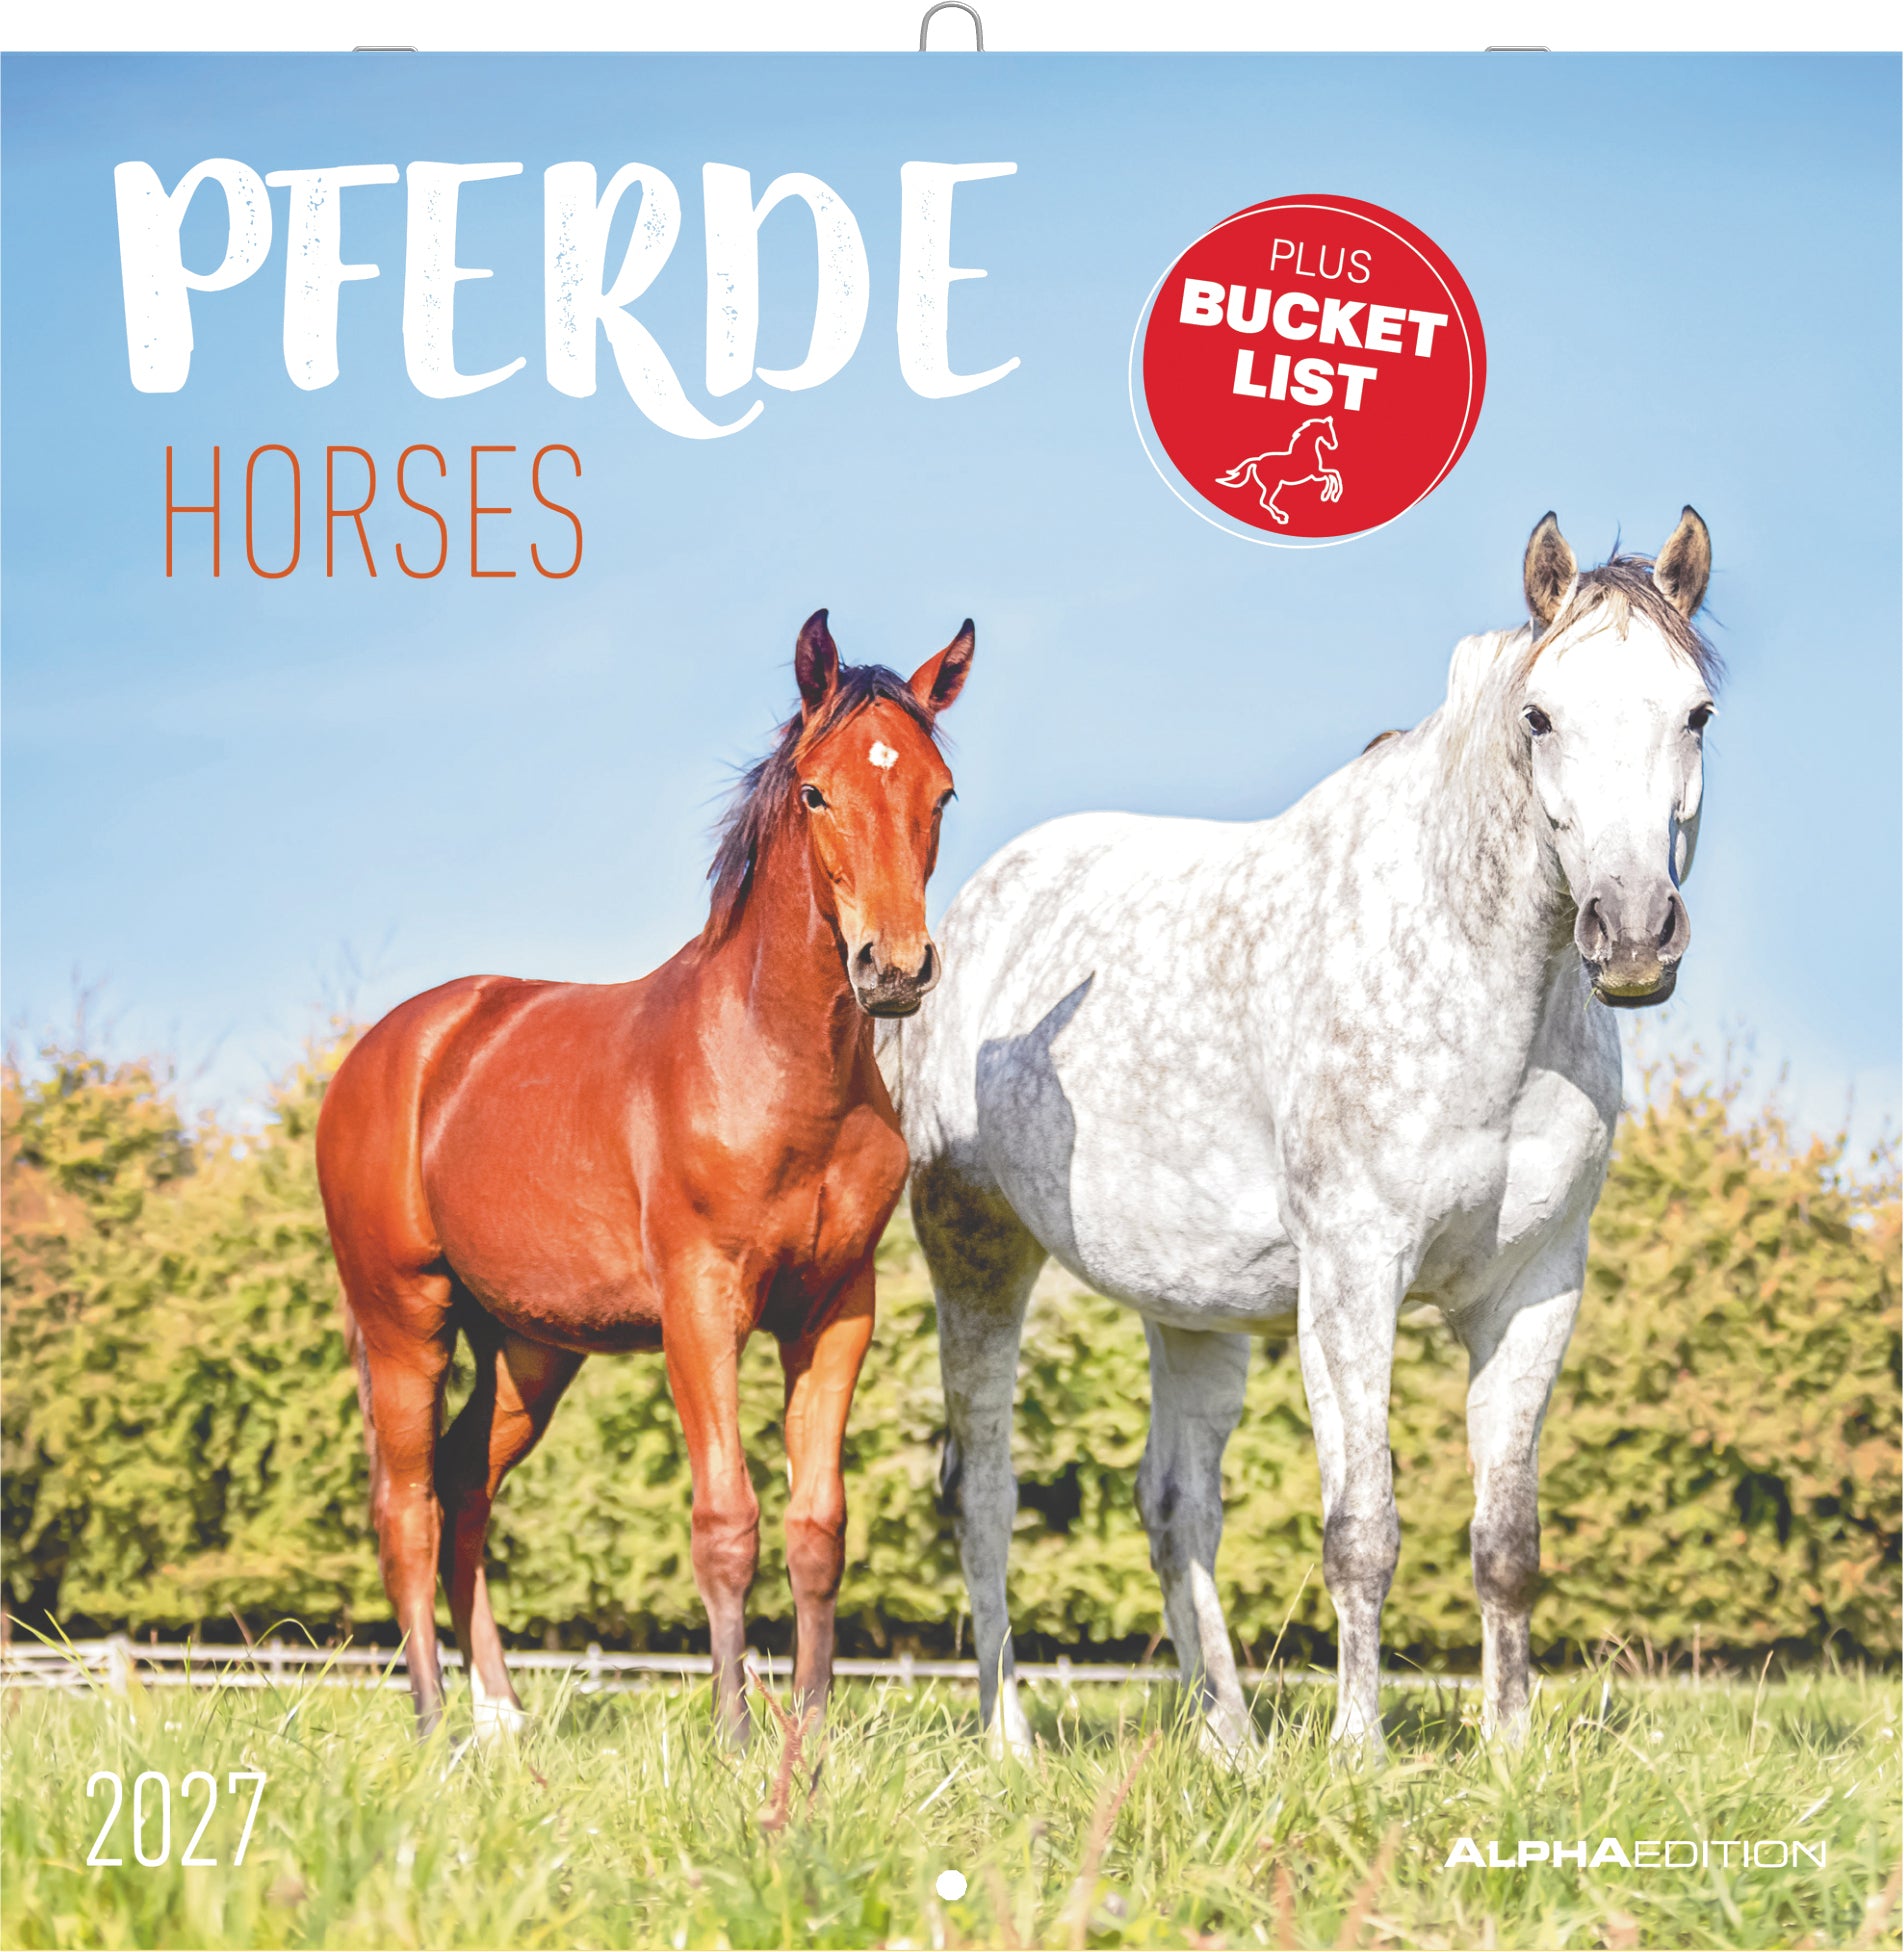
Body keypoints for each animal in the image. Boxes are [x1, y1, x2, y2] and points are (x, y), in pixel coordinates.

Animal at [317, 609, 974, 1745]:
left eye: (940, 793)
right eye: (816, 791)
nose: (892, 969)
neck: (773, 1066)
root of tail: (391, 1050)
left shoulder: (835, 1311)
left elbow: (816, 1527)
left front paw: (808, 1730)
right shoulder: (699, 1307)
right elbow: (726, 1520)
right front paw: (734, 1734)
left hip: (529, 1351)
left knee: (465, 1490)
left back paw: (501, 1715)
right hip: (405, 1319)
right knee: (407, 1505)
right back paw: (436, 1722)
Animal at [892, 510, 1716, 1756]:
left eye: (1695, 711)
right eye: (1538, 715)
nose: (1628, 931)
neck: (1473, 979)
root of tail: (981, 903)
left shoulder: (1532, 1289)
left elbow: (1505, 1541)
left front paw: (1508, 1749)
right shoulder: (1351, 1276)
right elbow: (1360, 1525)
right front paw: (1356, 1749)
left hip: (1188, 1310)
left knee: (1174, 1505)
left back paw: (1230, 1740)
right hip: (975, 1250)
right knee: (980, 1486)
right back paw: (1009, 1736)